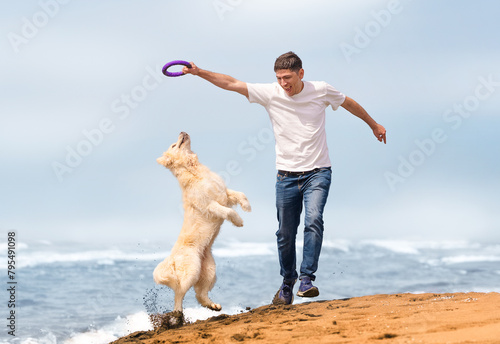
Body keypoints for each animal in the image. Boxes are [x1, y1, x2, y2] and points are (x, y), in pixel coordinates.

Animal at [154, 131, 252, 312]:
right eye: (174, 145)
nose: (182, 131)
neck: (195, 170)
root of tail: (172, 260)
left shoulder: (224, 193)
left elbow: (240, 194)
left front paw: (247, 206)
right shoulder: (210, 205)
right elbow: (229, 211)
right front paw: (239, 221)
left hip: (209, 271)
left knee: (200, 294)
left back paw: (213, 305)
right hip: (191, 271)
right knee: (179, 293)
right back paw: (178, 313)